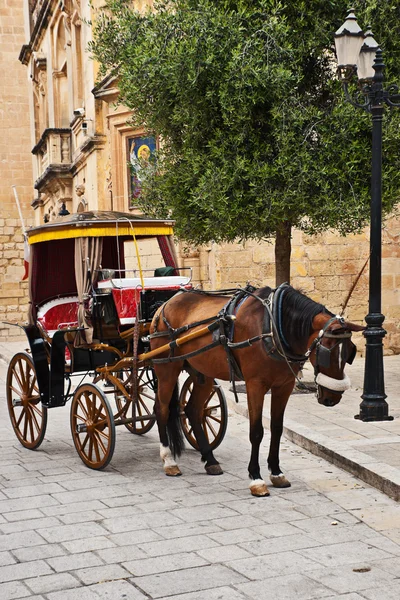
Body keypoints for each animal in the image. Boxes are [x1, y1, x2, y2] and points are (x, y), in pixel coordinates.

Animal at [149, 286, 362, 496]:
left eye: (349, 353)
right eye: (327, 352)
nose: (332, 398)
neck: (273, 326)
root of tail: (165, 305)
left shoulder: (284, 386)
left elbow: (277, 428)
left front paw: (276, 473)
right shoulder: (255, 385)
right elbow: (257, 431)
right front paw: (256, 479)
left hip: (203, 372)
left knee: (193, 410)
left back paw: (210, 461)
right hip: (167, 368)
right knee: (161, 409)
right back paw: (169, 461)